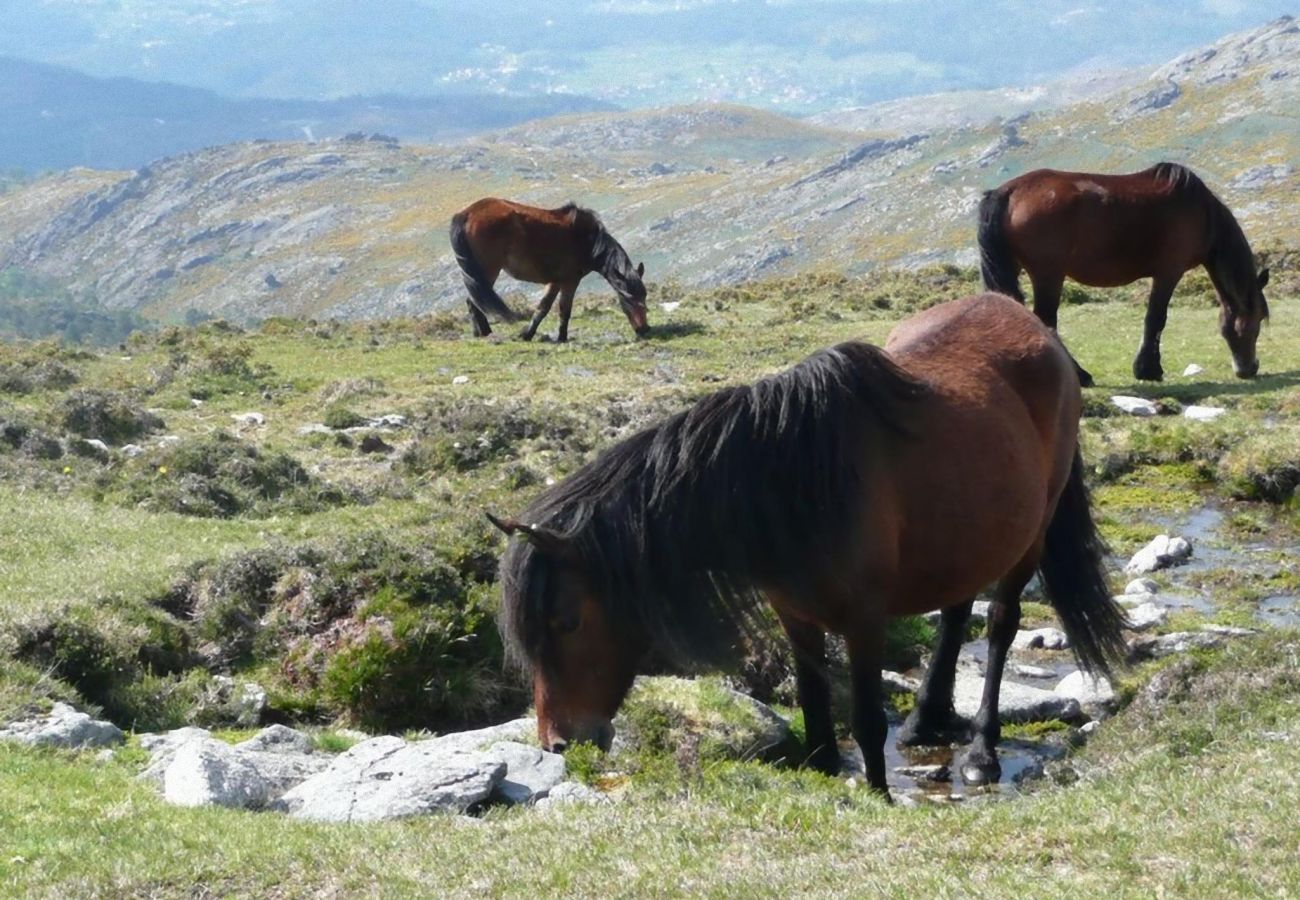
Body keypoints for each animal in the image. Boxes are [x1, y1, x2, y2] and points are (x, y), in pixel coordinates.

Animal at [447, 198, 650, 343]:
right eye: (628, 298)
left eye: (644, 296)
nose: (644, 330)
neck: (587, 241)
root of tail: (466, 213)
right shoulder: (569, 281)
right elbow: (562, 310)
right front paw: (560, 338)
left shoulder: (556, 281)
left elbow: (543, 308)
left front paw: (528, 334)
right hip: (487, 271)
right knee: (475, 300)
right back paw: (485, 333)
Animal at [488, 291, 1128, 795]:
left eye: (568, 622)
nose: (557, 743)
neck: (795, 480)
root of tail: (1038, 329)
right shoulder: (795, 615)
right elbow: (816, 713)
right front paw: (828, 774)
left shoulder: (865, 620)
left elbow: (865, 720)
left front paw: (878, 794)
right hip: (964, 537)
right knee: (954, 613)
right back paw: (925, 721)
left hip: (1029, 539)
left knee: (998, 625)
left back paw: (981, 752)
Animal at [977, 163, 1268, 382]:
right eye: (1258, 321)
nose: (1249, 368)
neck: (1203, 213)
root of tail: (1008, 191)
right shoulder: (1169, 272)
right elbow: (1155, 318)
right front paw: (1148, 370)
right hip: (1048, 276)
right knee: (1046, 320)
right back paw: (1080, 375)